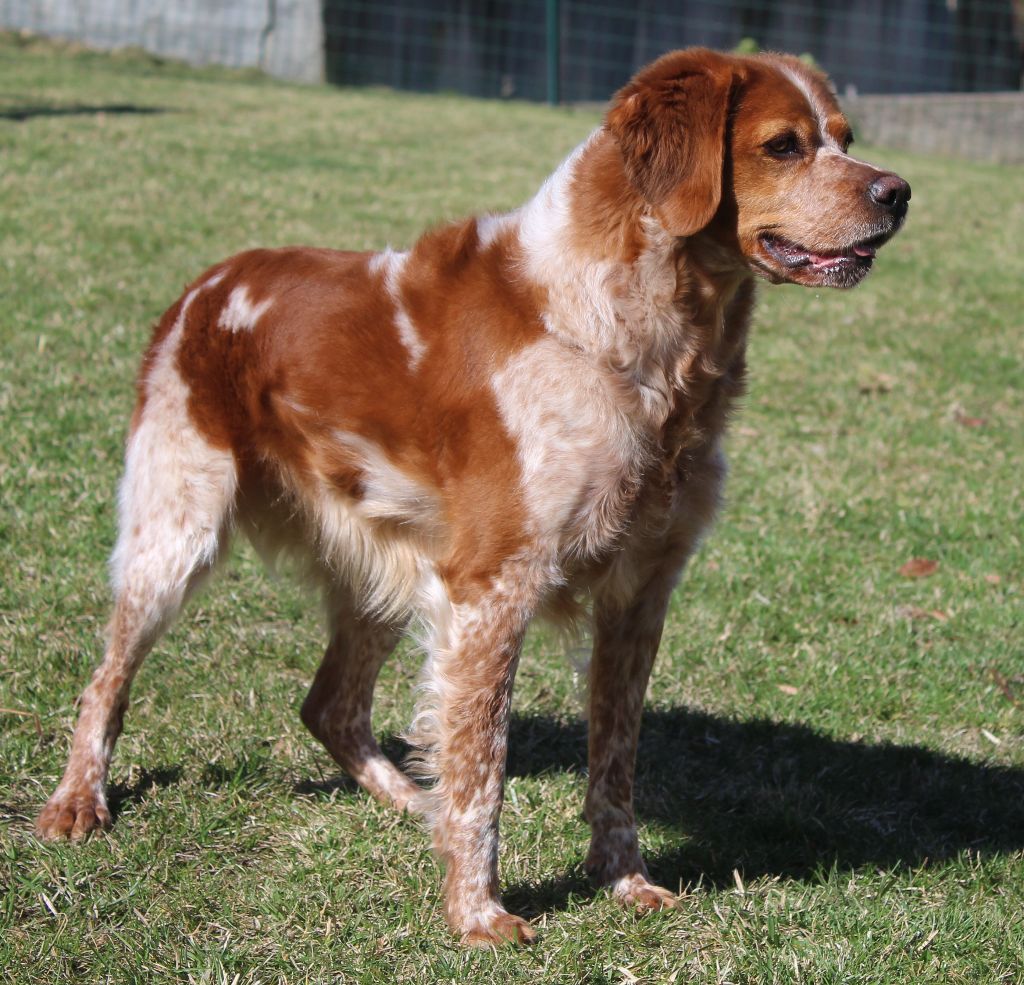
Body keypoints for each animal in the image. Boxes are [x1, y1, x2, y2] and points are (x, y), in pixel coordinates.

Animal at [36, 48, 909, 946]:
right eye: (782, 146)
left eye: (845, 139)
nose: (898, 192)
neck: (633, 338)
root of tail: (208, 282)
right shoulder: (493, 585)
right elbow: (482, 770)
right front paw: (478, 912)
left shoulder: (637, 592)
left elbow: (614, 761)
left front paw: (623, 879)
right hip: (177, 531)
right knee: (106, 678)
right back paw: (77, 802)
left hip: (390, 570)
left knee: (330, 704)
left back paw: (406, 798)